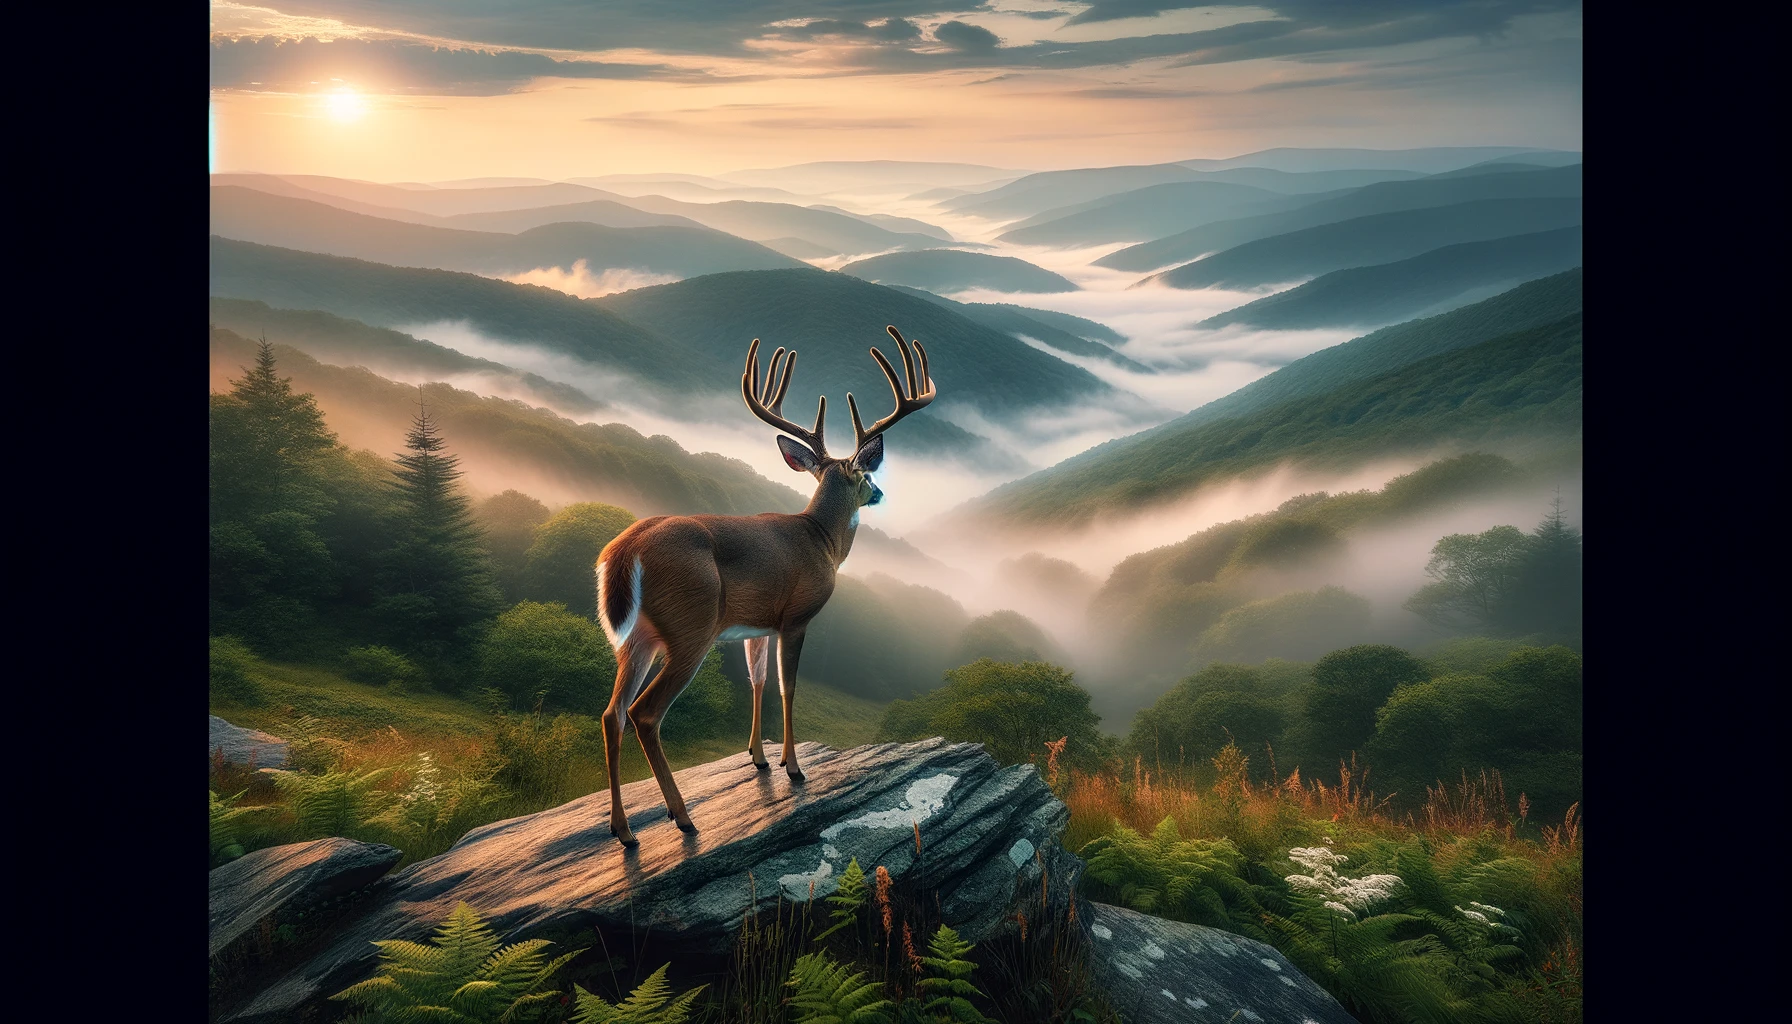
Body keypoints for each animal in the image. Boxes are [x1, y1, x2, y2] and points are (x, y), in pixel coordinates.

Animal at [594, 325, 936, 846]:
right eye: (865, 473)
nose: (879, 492)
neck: (821, 538)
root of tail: (624, 549)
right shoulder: (796, 616)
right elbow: (786, 687)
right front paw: (793, 767)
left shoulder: (755, 624)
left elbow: (757, 681)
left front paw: (758, 758)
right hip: (691, 626)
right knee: (644, 713)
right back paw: (682, 816)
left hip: (638, 636)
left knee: (611, 713)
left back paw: (623, 830)